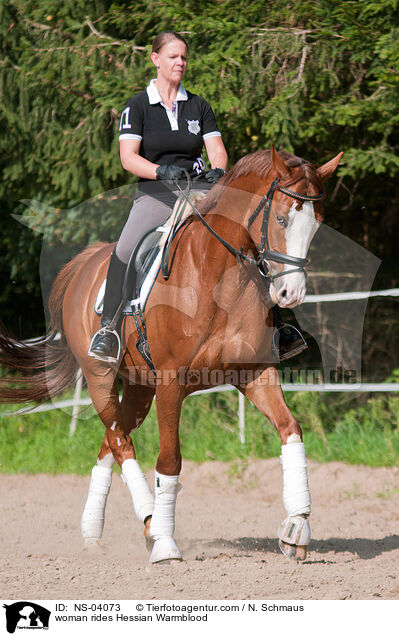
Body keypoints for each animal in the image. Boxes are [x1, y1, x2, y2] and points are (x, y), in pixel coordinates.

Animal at [0, 148, 344, 560]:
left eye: (317, 224)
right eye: (280, 218)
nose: (291, 294)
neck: (218, 279)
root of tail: (86, 261)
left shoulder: (255, 372)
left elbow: (290, 430)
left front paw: (296, 527)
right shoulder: (170, 382)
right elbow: (169, 459)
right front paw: (165, 543)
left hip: (138, 387)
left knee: (110, 442)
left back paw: (94, 531)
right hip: (101, 378)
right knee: (121, 442)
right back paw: (148, 523)